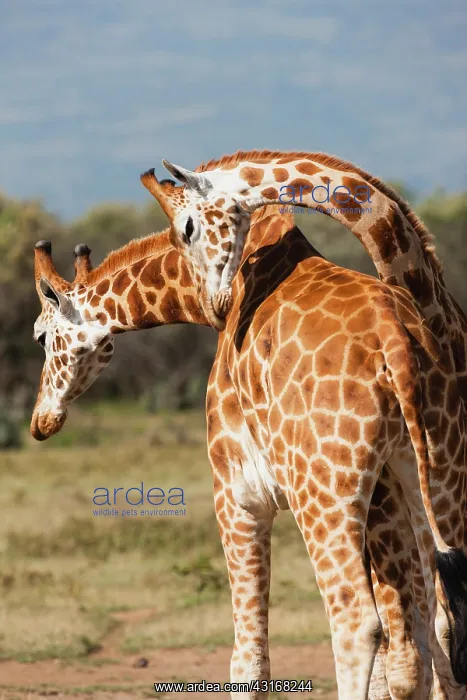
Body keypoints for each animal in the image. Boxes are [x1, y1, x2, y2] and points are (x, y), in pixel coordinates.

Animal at [30, 208, 467, 698]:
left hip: (324, 494)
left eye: (41, 336)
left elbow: (248, 659)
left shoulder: (238, 494)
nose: (41, 421)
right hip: (435, 475)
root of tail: (396, 342)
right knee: (441, 622)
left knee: (357, 622)